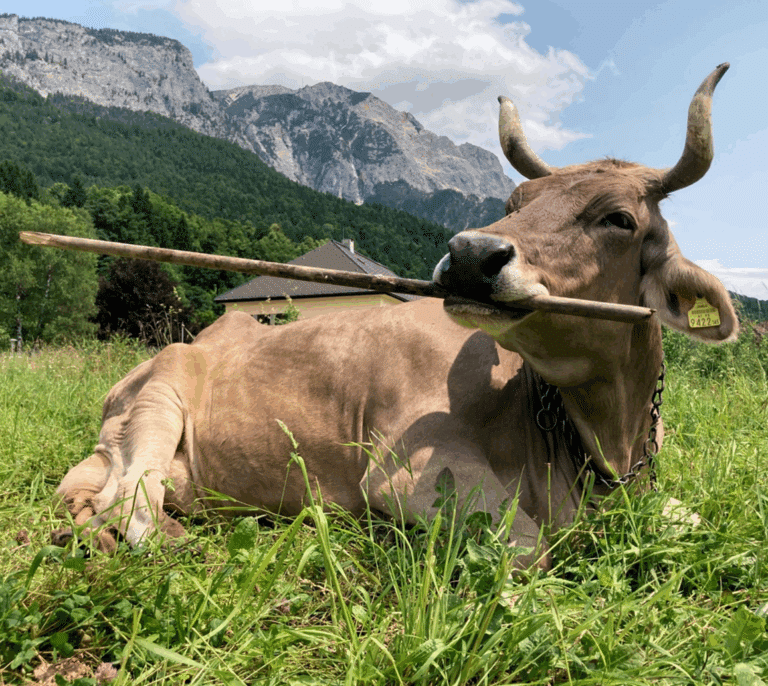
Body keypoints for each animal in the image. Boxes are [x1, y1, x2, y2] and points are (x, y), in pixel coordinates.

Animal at [53, 64, 737, 569]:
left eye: (619, 219)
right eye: (514, 201)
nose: (470, 254)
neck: (604, 442)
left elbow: (702, 519)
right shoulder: (408, 473)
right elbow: (530, 548)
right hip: (159, 400)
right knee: (128, 506)